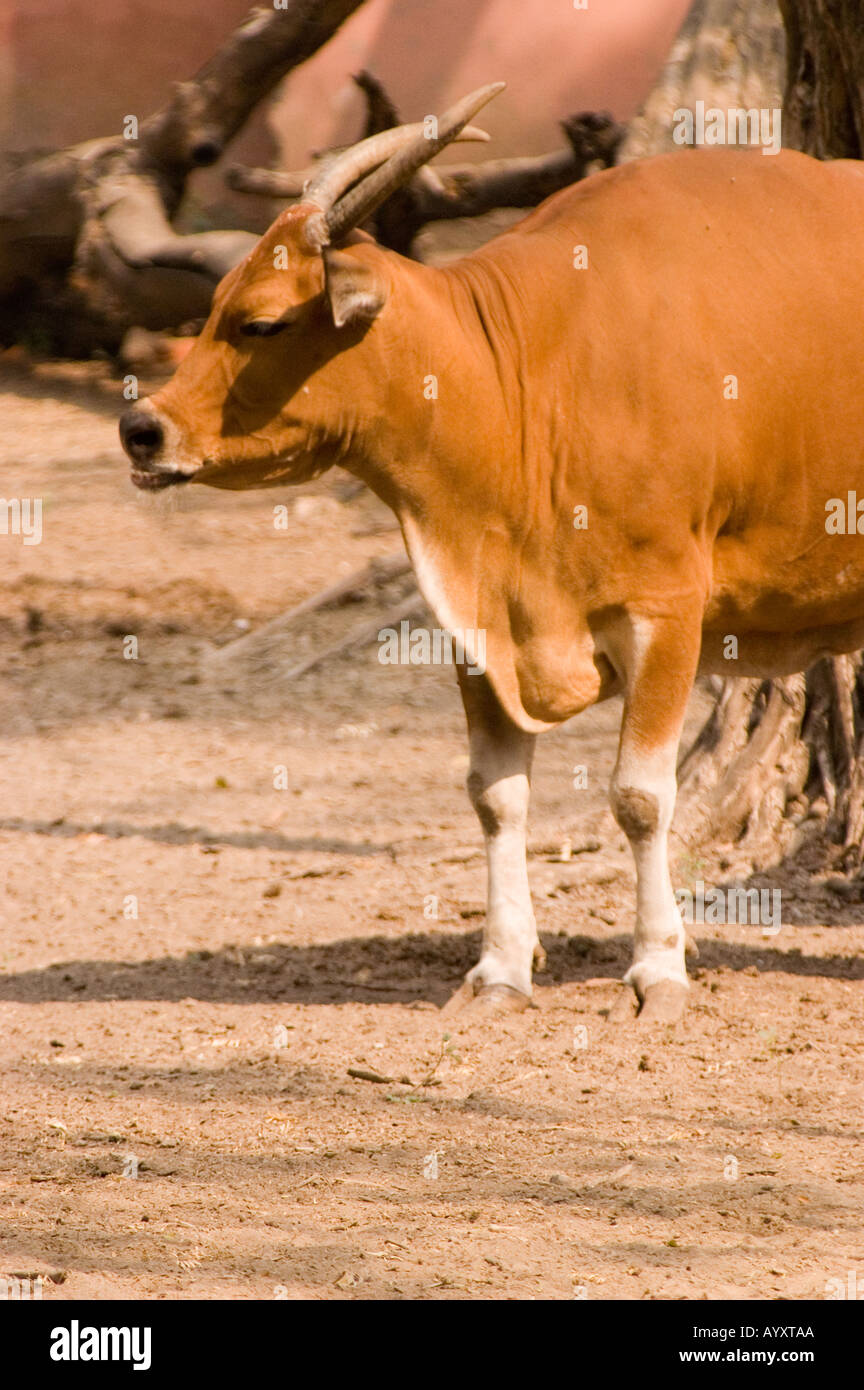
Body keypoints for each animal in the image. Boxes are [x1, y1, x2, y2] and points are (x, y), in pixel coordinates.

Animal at [122, 84, 864, 1023]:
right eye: (214, 303)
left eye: (259, 321)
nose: (141, 428)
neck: (526, 380)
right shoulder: (479, 624)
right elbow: (496, 796)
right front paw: (502, 964)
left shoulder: (665, 607)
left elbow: (638, 796)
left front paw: (658, 965)